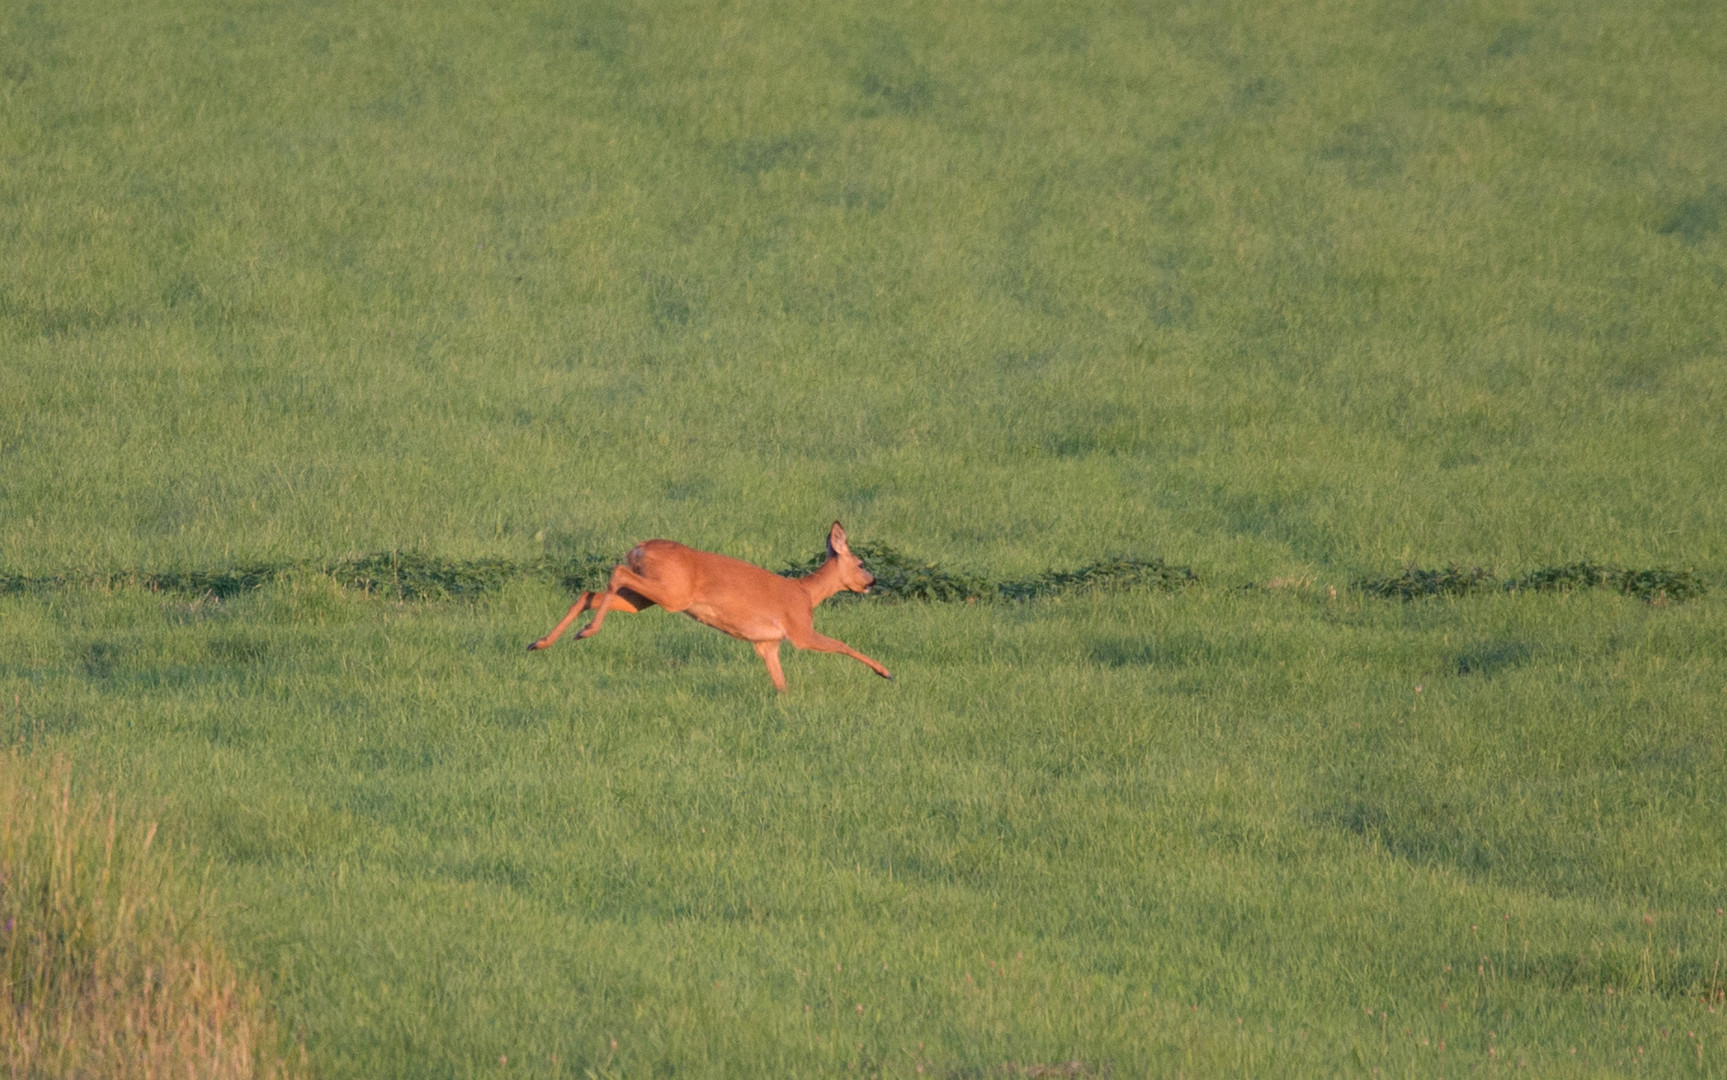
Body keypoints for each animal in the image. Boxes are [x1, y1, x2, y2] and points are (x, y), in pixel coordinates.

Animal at [528, 521, 898, 691]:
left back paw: (541, 641)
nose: (872, 582)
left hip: (645, 598)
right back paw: (586, 631)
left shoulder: (766, 643)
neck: (806, 593)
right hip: (671, 594)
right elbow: (842, 644)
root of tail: (639, 547)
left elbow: (780, 683)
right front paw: (885, 672)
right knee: (615, 573)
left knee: (590, 593)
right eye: (861, 563)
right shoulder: (799, 629)